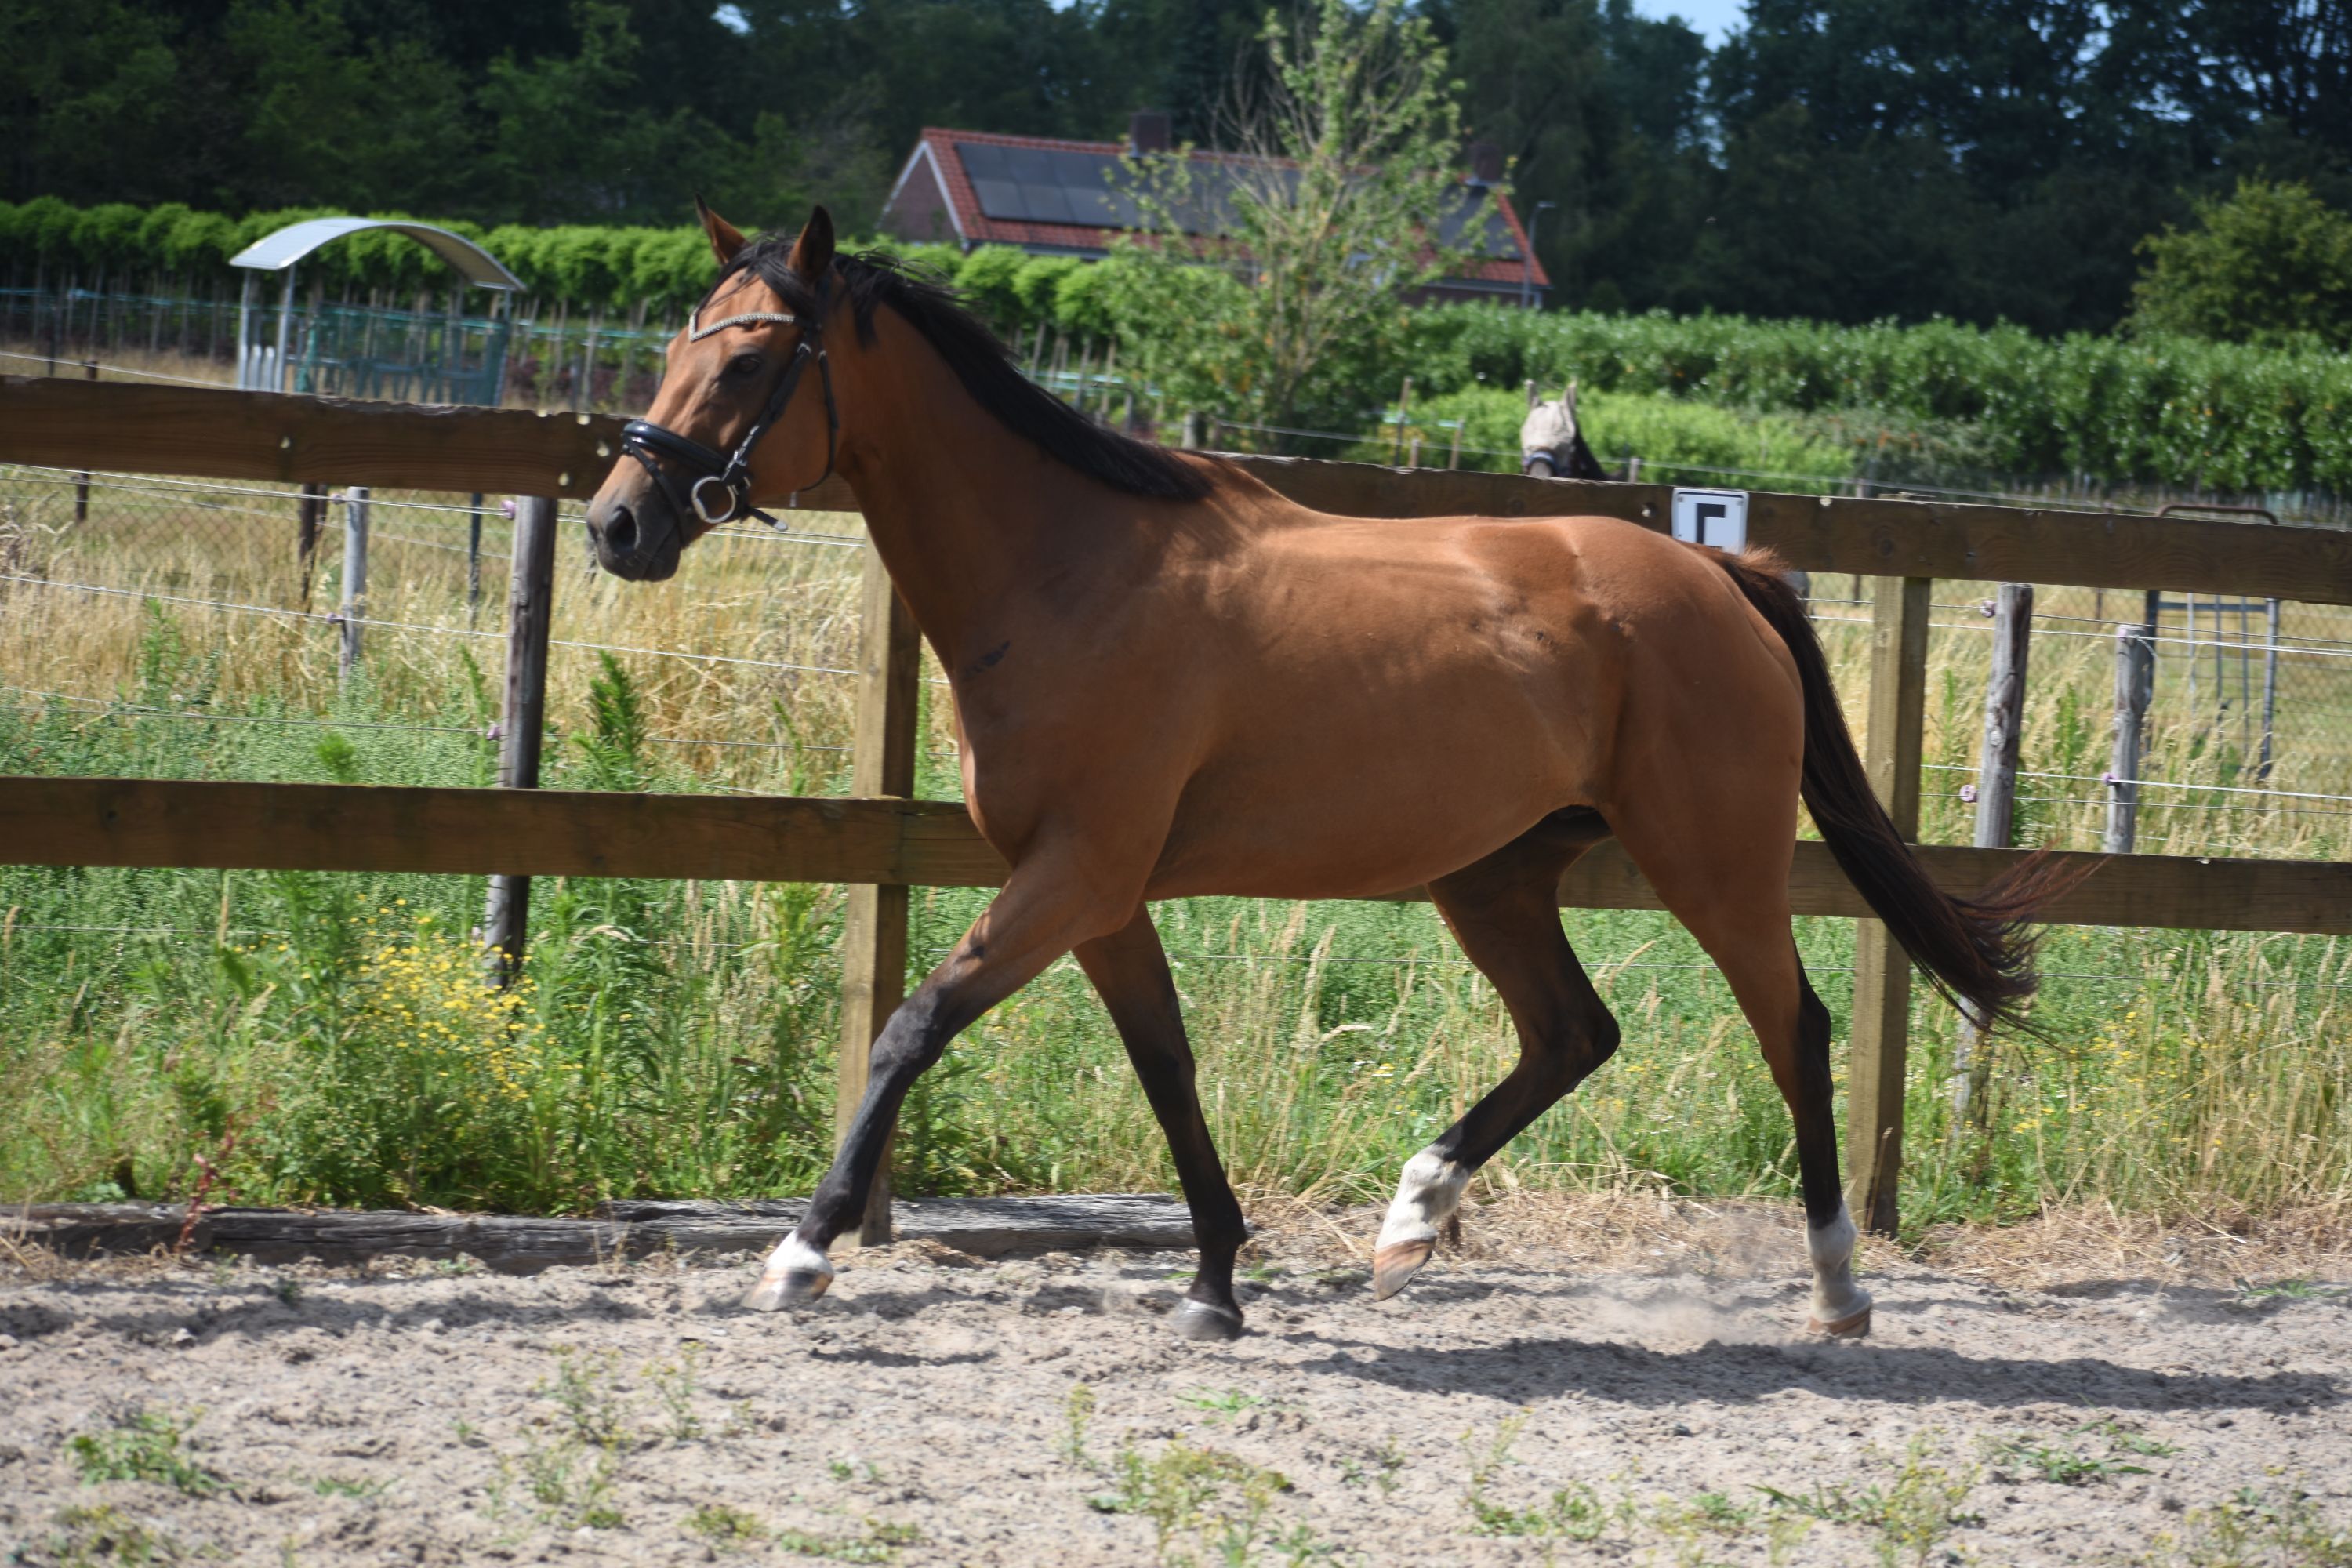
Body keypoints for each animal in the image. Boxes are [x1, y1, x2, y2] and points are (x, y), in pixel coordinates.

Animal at [585, 203, 2055, 1344]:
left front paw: (802, 1256)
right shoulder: (1101, 896)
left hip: (1713, 863)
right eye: (671, 349)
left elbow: (912, 1026)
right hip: (1493, 875)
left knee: (1791, 1028)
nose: (617, 524)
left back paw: (1837, 1289)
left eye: (752, 360)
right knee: (1574, 1032)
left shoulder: (1075, 876)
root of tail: (1720, 571)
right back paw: (1413, 1214)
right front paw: (1213, 1285)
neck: (1070, 576)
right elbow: (1166, 1066)